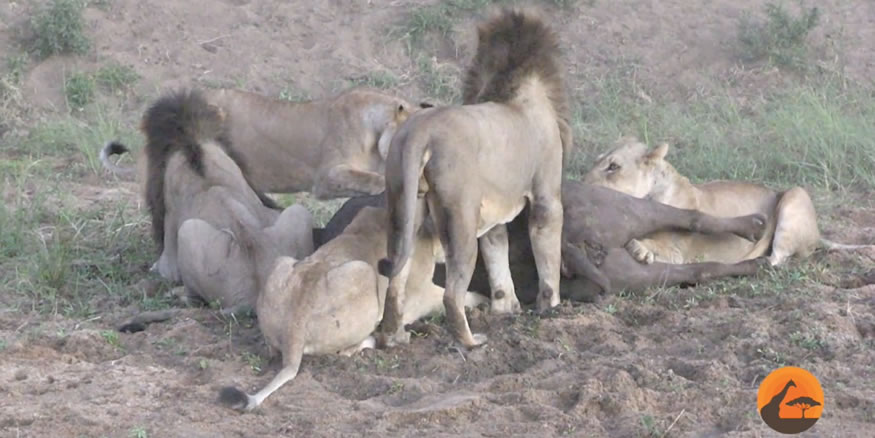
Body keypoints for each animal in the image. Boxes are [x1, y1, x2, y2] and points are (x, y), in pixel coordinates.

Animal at [101, 88, 314, 312]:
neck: (192, 143)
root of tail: (259, 293)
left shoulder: (169, 249)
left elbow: (163, 267)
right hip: (298, 211)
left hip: (188, 231)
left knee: (194, 296)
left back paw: (179, 295)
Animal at [215, 205, 482, 410]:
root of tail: (294, 330)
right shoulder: (421, 293)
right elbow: (463, 298)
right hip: (364, 274)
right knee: (347, 351)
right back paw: (379, 339)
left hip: (282, 263)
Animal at [378, 9, 572, 350]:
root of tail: (420, 131)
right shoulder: (546, 197)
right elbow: (547, 256)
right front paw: (551, 308)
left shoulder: (494, 216)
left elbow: (497, 255)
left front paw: (506, 308)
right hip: (460, 217)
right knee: (452, 295)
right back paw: (471, 342)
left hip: (402, 207)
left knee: (395, 281)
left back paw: (394, 338)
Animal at [580, 137, 872, 266]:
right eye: (596, 161)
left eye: (613, 167)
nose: (581, 185)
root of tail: (817, 234)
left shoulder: (678, 252)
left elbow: (654, 245)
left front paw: (640, 248)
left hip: (795, 195)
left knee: (777, 258)